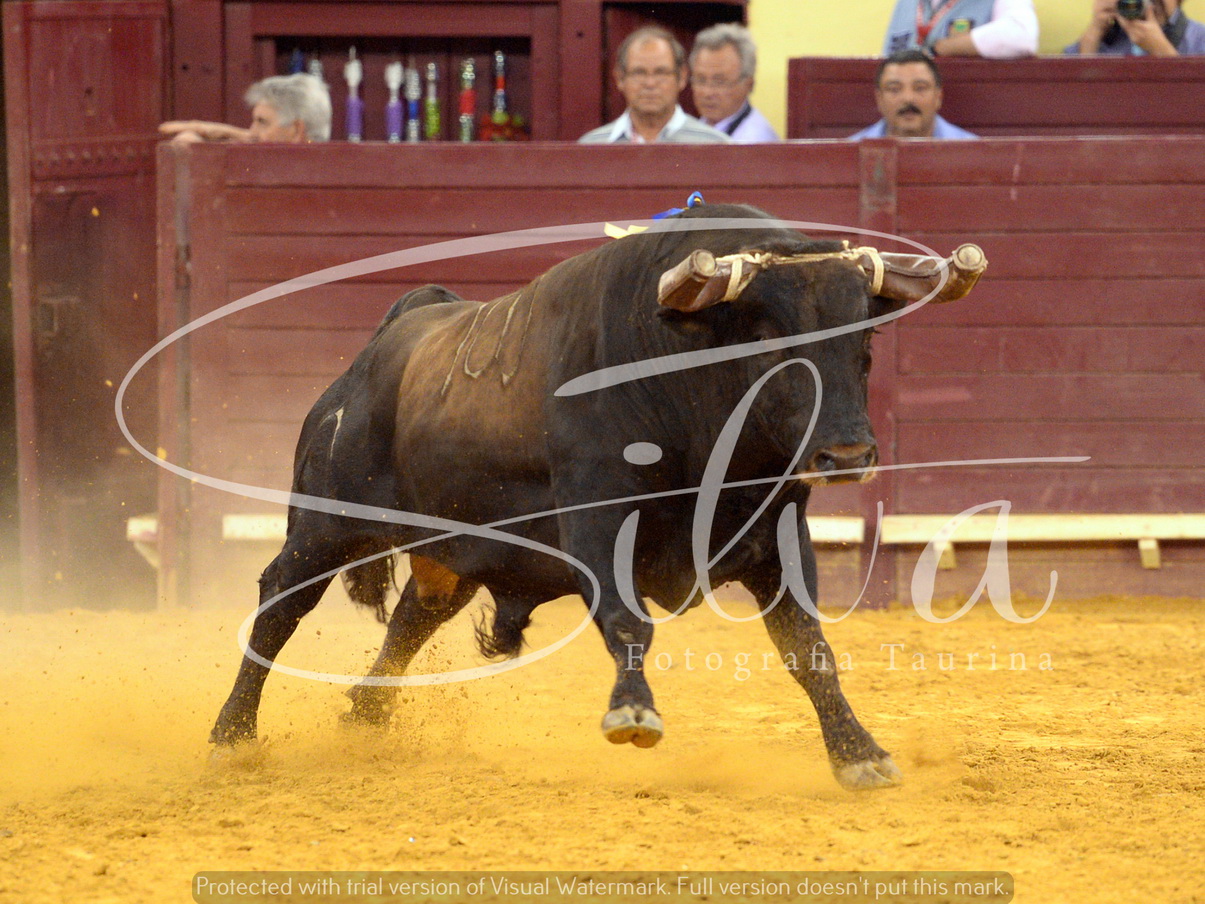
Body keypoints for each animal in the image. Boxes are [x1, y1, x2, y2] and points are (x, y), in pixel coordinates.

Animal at [209, 202, 986, 791]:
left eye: (866, 347)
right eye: (766, 343)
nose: (848, 456)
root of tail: (383, 346)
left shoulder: (779, 540)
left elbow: (808, 648)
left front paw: (859, 754)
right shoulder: (598, 529)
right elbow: (626, 621)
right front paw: (633, 715)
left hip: (453, 554)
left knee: (410, 619)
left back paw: (363, 720)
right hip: (324, 525)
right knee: (279, 607)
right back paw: (231, 734)